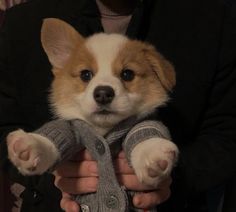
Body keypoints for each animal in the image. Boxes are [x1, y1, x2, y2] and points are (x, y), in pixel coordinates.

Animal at [6, 18, 178, 187]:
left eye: (127, 74)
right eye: (85, 74)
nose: (103, 94)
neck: (103, 130)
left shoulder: (143, 123)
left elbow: (144, 131)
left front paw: (151, 152)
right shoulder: (73, 128)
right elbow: (58, 133)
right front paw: (32, 144)